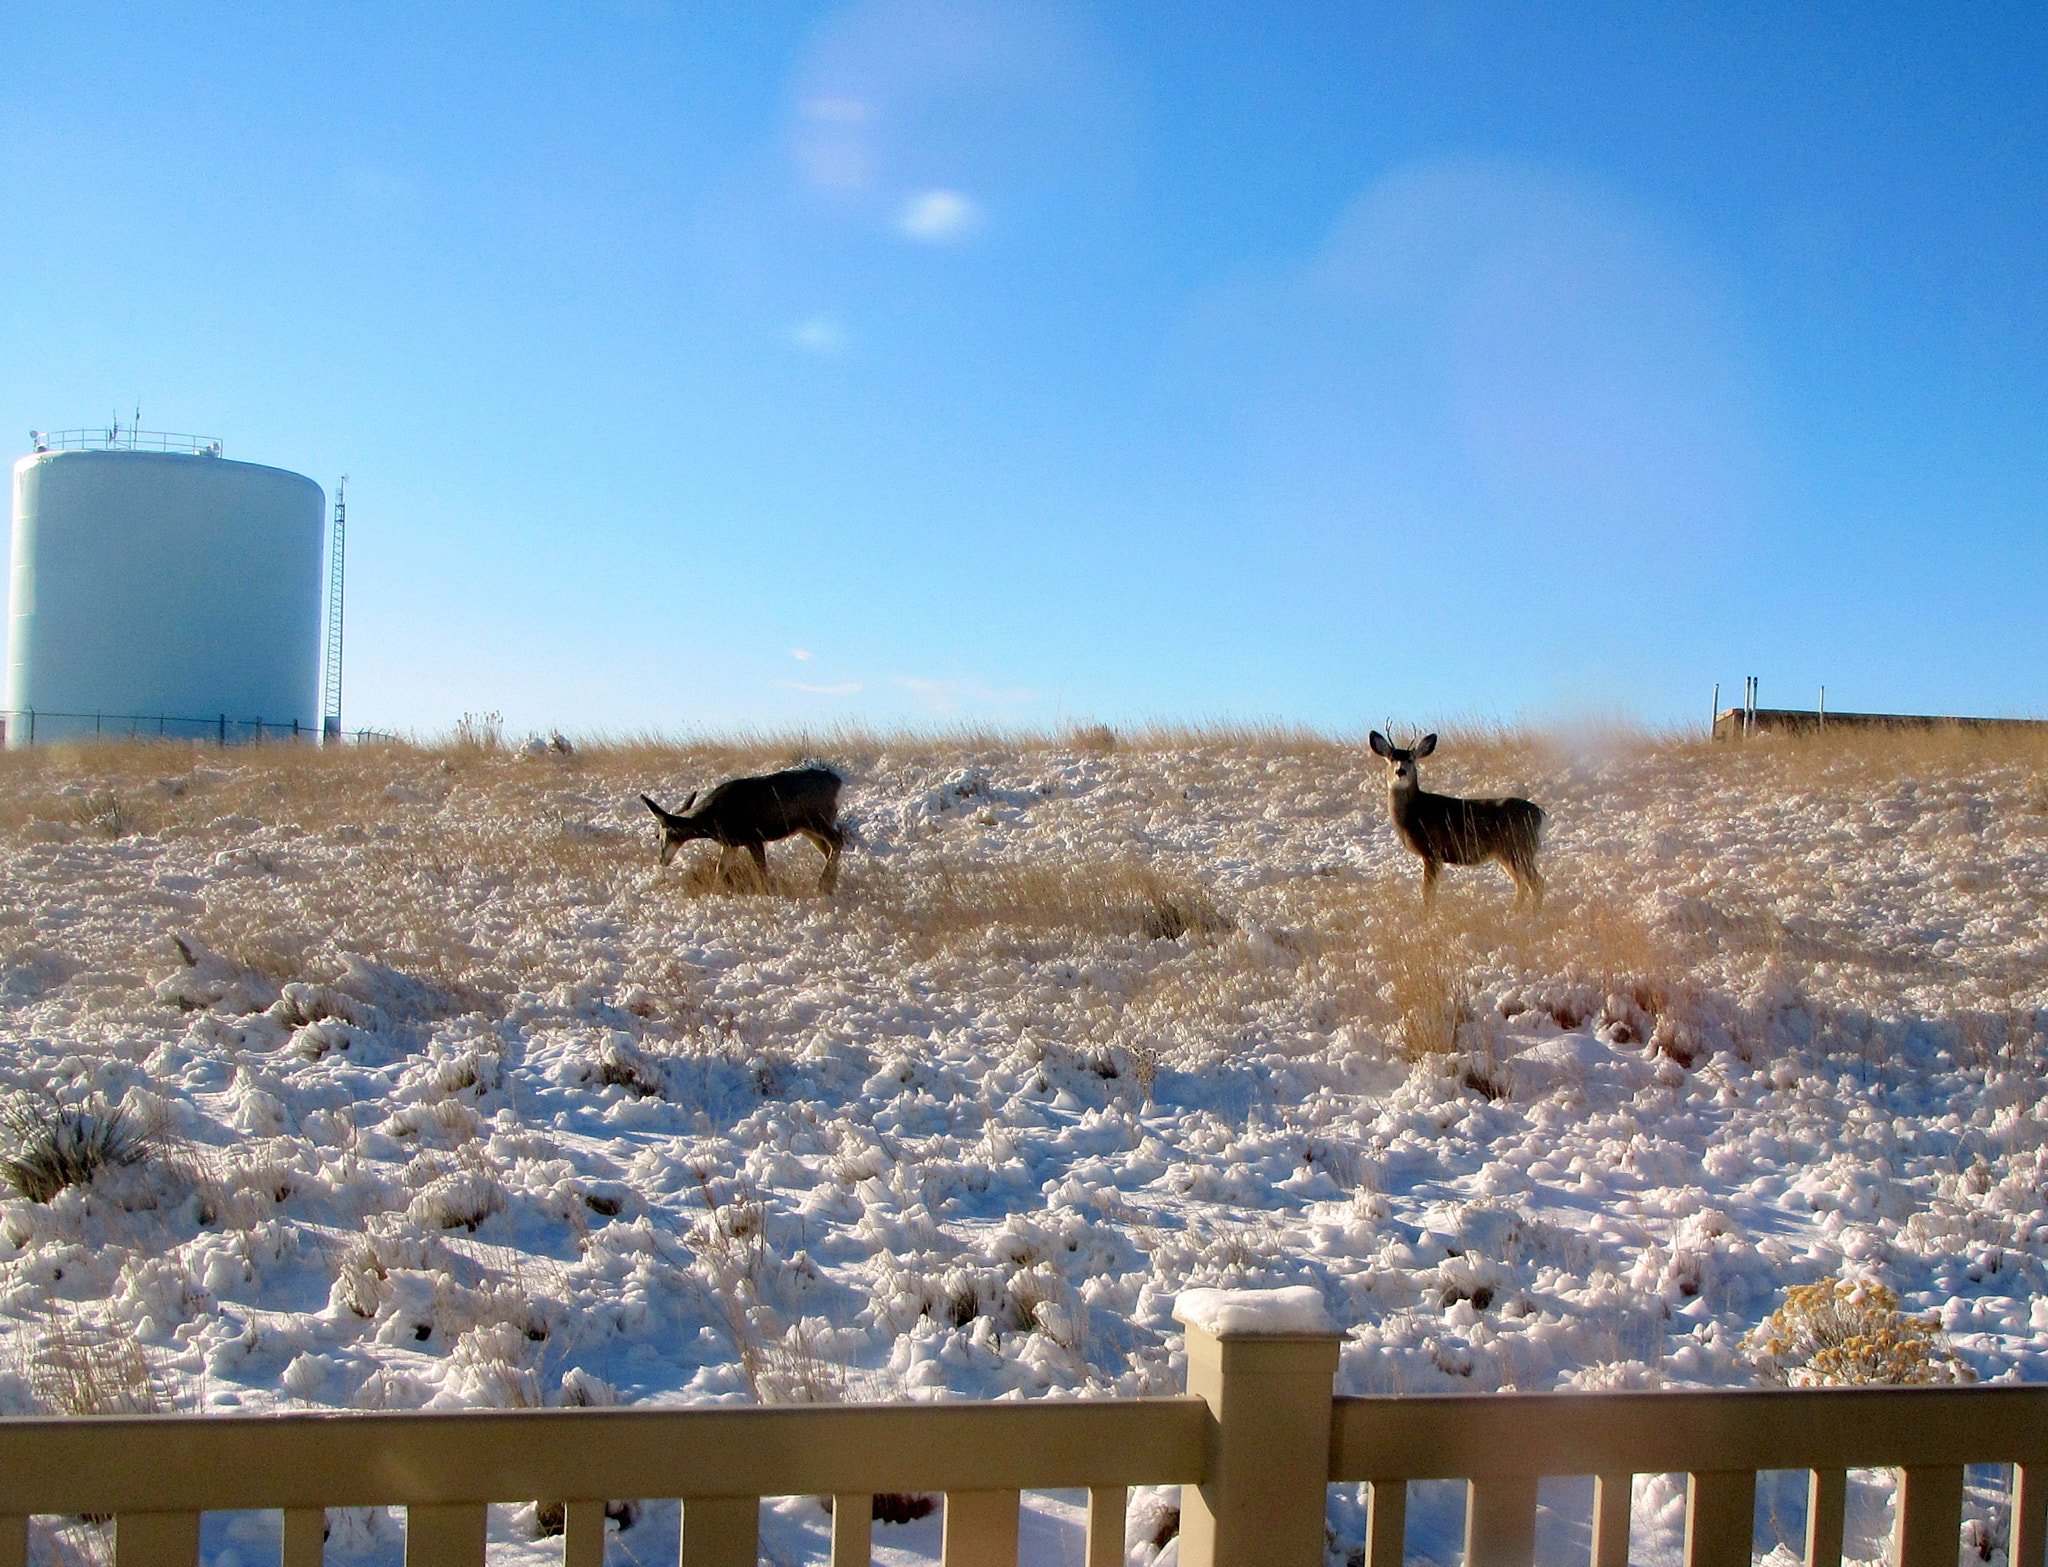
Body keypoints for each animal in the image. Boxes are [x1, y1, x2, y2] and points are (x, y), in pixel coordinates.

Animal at [630, 761, 839, 884]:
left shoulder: (753, 838)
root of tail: (837, 781)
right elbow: (720, 869)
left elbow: (761, 871)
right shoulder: (731, 844)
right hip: (807, 828)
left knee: (838, 841)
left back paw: (822, 885)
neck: (711, 819)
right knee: (828, 848)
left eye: (658, 835)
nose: (662, 861)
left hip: (817, 820)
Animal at [1368, 729, 1540, 909]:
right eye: (1391, 758)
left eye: (1410, 759)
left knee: (1536, 882)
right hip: (1506, 853)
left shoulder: (1432, 850)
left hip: (1518, 847)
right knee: (1522, 883)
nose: (1400, 771)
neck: (1413, 813)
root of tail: (1540, 814)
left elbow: (1428, 893)